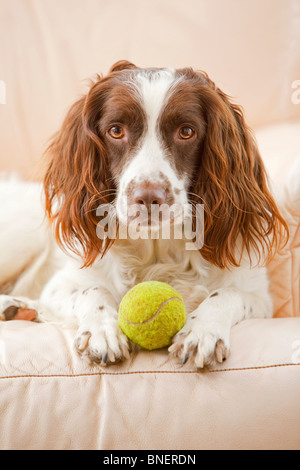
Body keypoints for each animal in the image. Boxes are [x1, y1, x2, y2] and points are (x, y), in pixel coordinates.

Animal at [0, 59, 288, 368]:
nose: (149, 197)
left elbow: (228, 293)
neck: (157, 248)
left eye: (186, 132)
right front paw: (103, 330)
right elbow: (93, 290)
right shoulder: (61, 285)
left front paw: (202, 330)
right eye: (116, 131)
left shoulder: (258, 295)